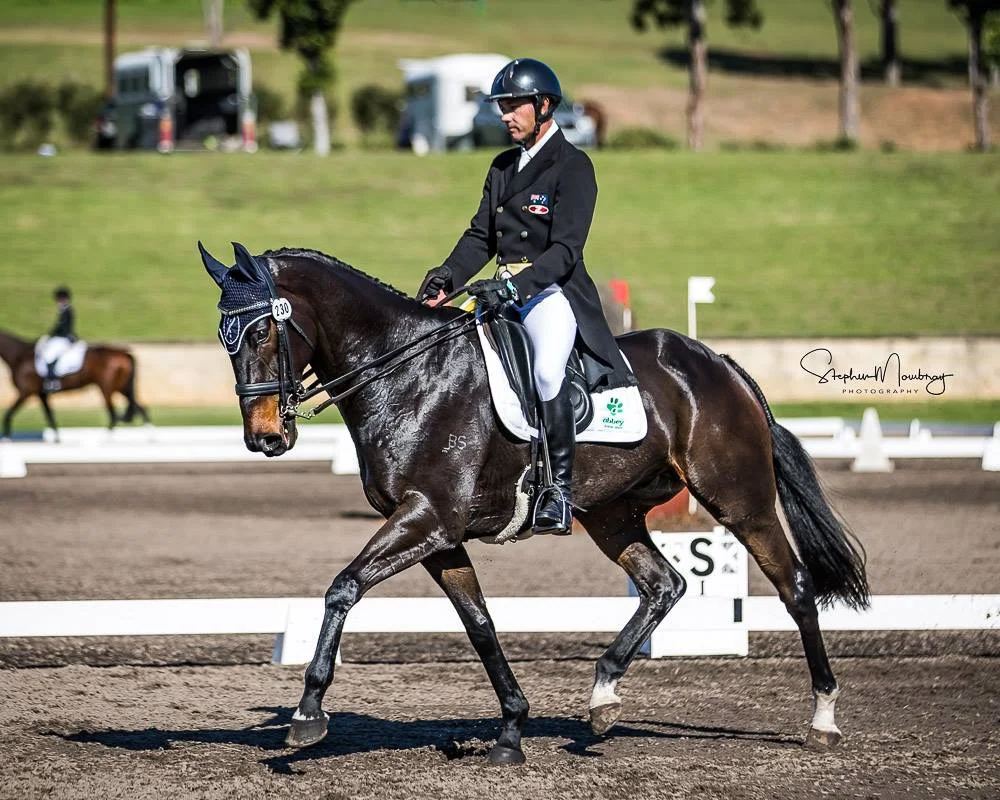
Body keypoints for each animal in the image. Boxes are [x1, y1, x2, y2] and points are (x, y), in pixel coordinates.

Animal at [0, 329, 150, 439]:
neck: (19, 356)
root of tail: (124, 354)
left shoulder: (25, 392)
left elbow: (8, 414)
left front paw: (7, 438)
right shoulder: (41, 394)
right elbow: (50, 417)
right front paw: (57, 440)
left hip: (107, 388)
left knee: (113, 415)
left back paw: (106, 440)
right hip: (120, 388)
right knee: (140, 407)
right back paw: (150, 435)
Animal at [199, 241, 868, 765]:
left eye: (261, 330)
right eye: (225, 338)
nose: (264, 438)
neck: (408, 376)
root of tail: (717, 363)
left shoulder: (427, 517)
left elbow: (343, 587)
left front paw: (308, 712)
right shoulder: (437, 534)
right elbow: (480, 624)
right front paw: (512, 728)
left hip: (738, 500)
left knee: (795, 587)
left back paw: (824, 719)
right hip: (610, 513)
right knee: (665, 584)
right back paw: (603, 698)